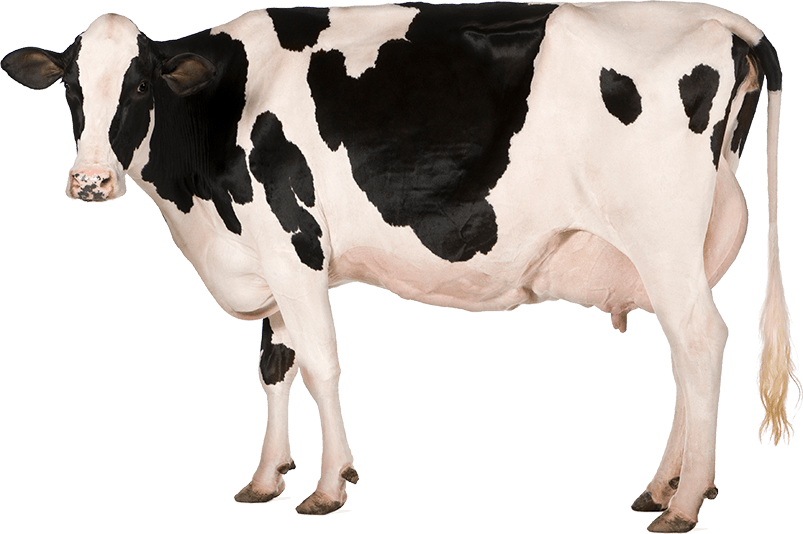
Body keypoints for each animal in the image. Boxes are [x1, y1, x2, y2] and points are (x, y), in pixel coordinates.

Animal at [2, 2, 799, 530]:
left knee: (700, 341)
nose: (90, 181)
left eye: (140, 86)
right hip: (685, 249)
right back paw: (664, 486)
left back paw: (685, 501)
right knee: (685, 354)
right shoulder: (269, 260)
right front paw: (265, 478)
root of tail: (716, 21)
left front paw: (329, 486)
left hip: (661, 236)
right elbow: (274, 367)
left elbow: (320, 363)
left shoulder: (295, 243)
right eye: (70, 90)